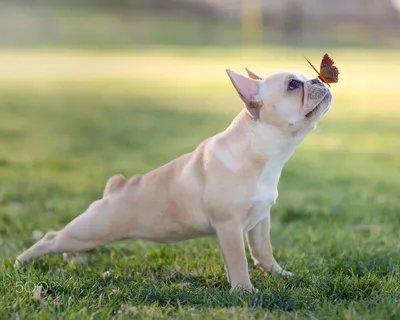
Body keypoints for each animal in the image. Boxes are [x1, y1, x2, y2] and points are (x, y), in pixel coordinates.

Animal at [14, 67, 332, 292]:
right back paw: (21, 262)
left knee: (66, 244)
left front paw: (280, 274)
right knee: (51, 238)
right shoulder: (229, 226)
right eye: (293, 85)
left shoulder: (260, 219)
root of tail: (114, 189)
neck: (263, 148)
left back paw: (73, 260)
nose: (317, 80)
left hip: (90, 234)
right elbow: (239, 261)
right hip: (93, 228)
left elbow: (263, 251)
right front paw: (244, 292)